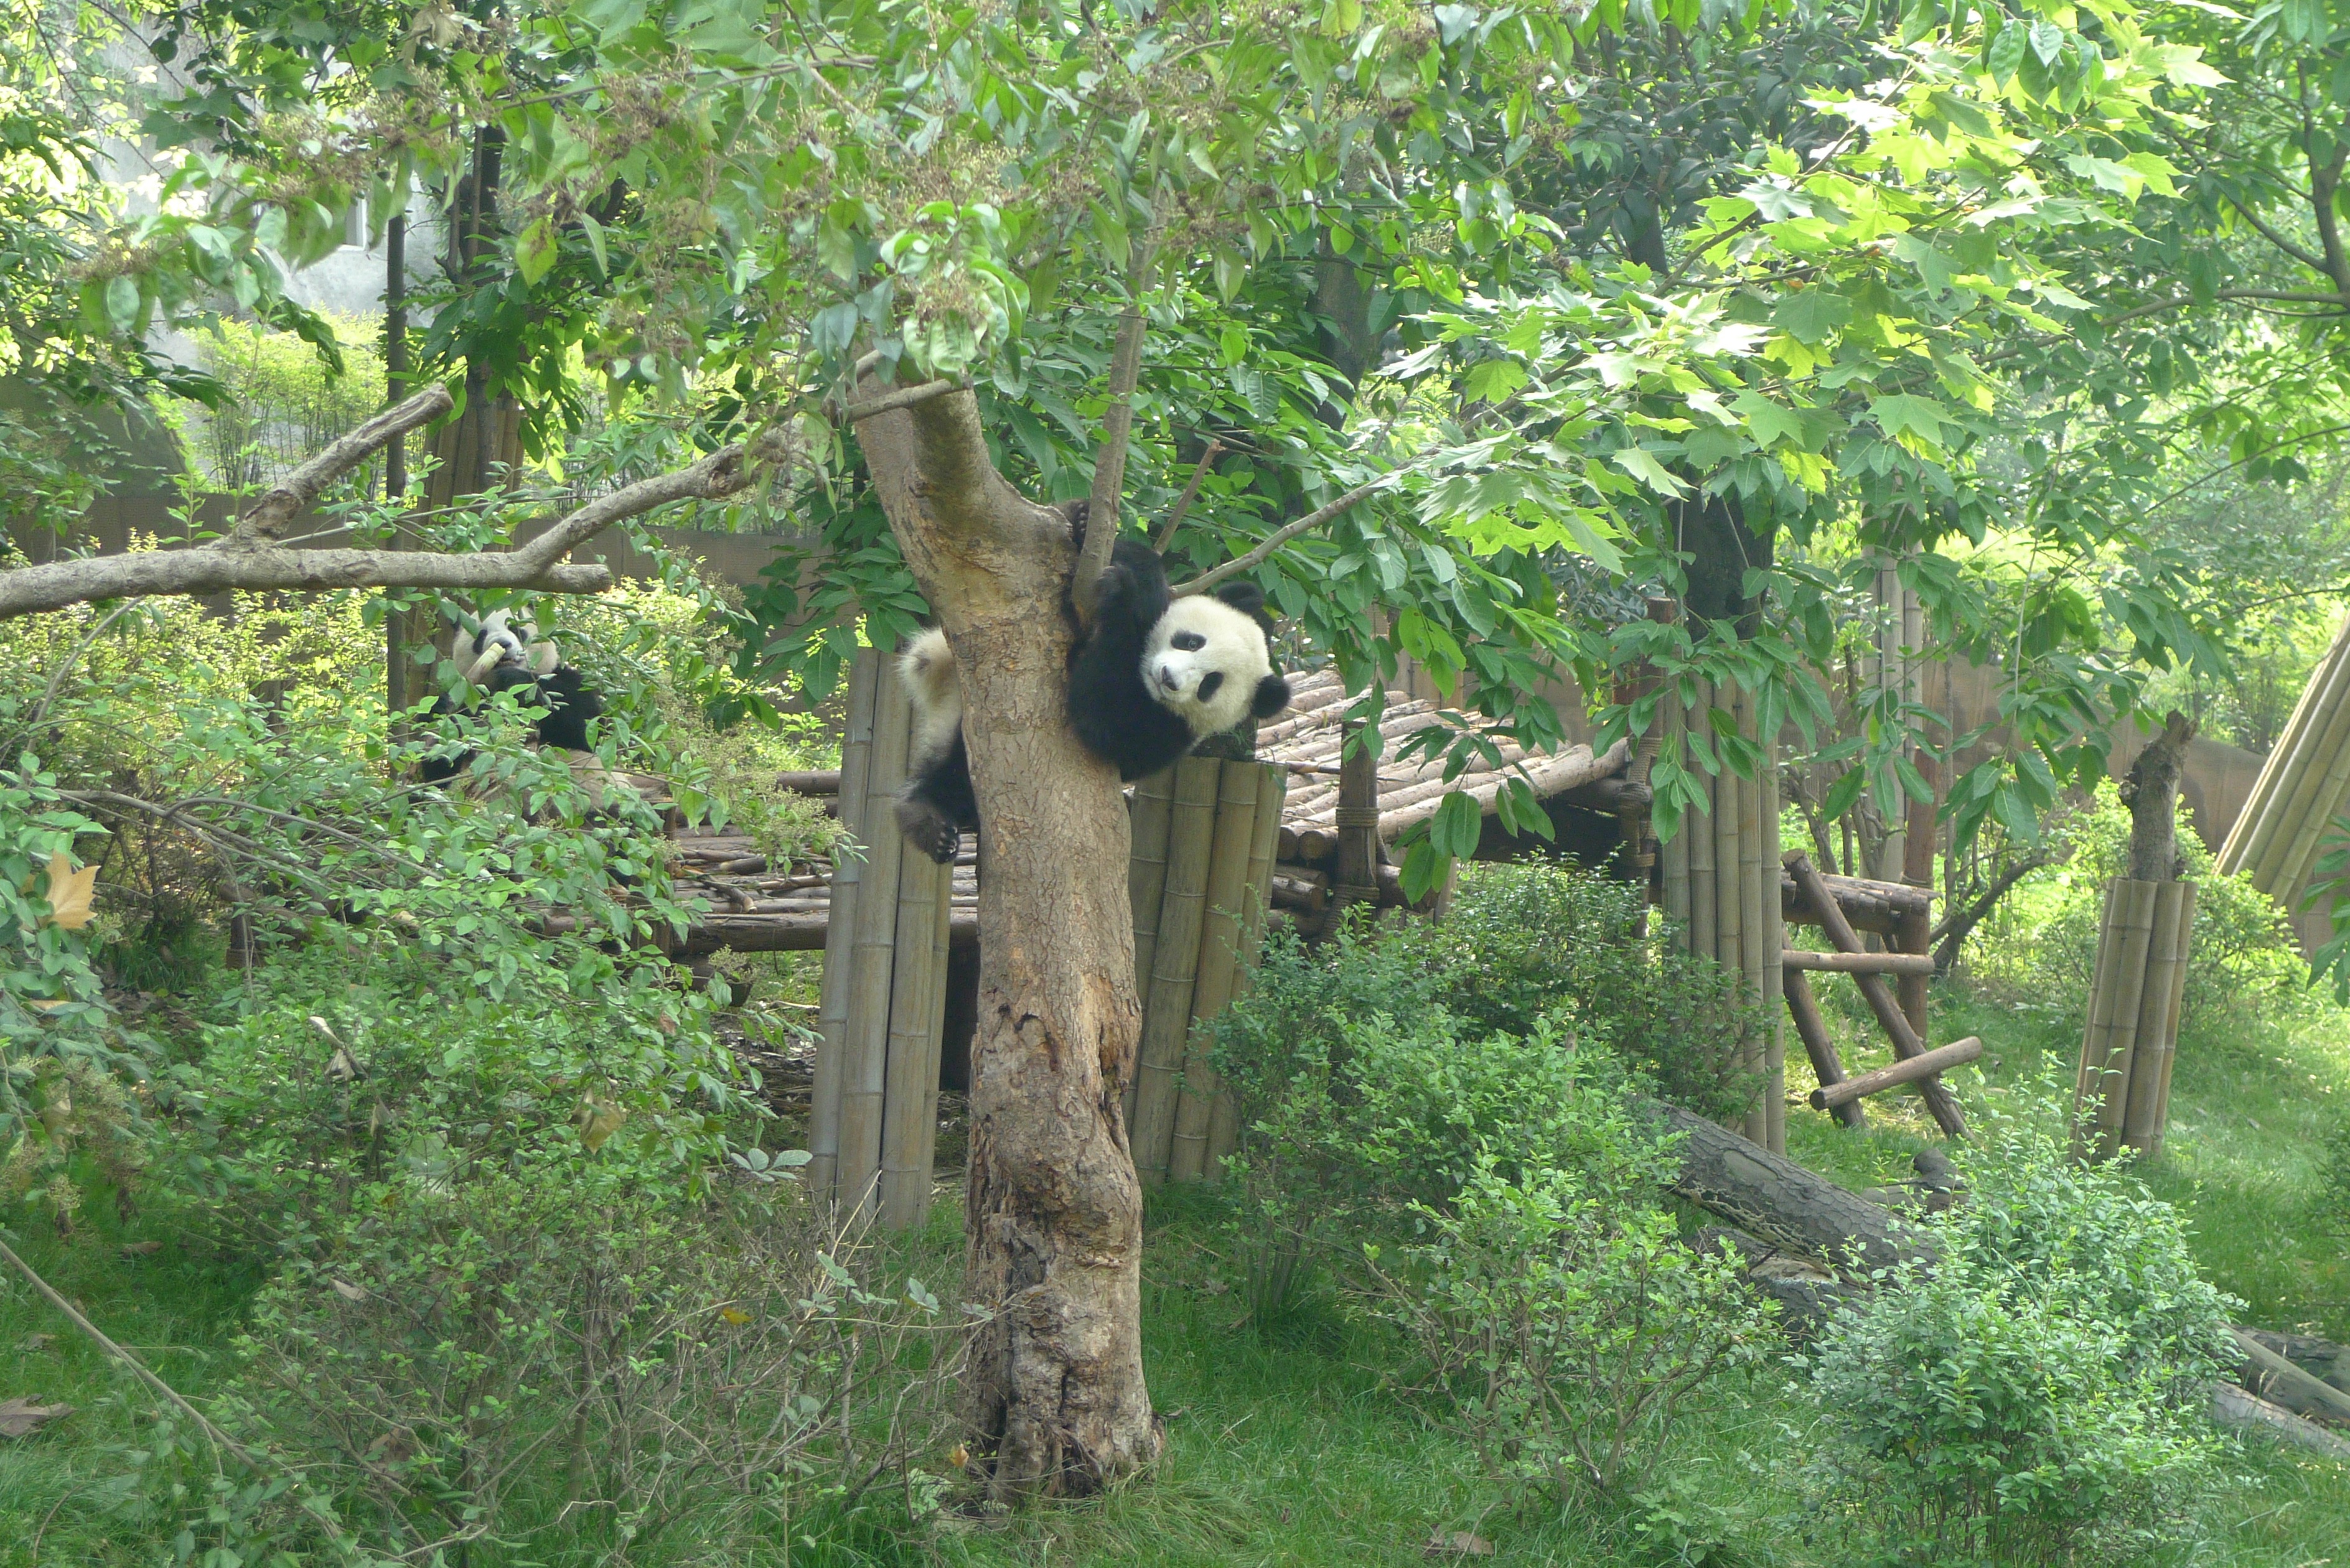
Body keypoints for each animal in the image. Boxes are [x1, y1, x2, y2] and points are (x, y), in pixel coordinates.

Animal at [420, 611, 611, 785]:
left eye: (515, 628)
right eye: (481, 635)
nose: (502, 644)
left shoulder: (568, 679)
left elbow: (590, 730)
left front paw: (517, 681)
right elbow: (437, 774)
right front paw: (444, 711)